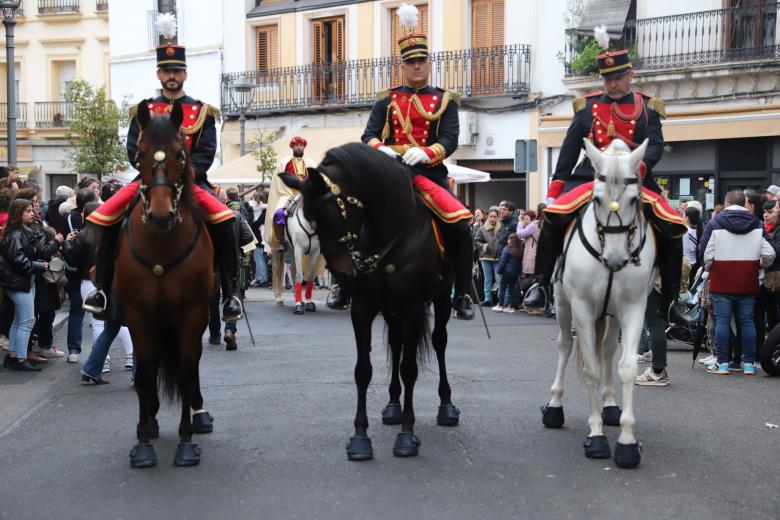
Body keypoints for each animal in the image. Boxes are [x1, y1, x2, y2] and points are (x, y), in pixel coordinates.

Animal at [114, 100, 216, 468]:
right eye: (140, 153)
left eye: (179, 153)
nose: (160, 216)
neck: (161, 244)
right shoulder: (139, 314)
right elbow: (144, 374)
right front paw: (143, 441)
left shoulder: (191, 313)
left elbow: (186, 373)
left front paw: (186, 442)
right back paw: (152, 417)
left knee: (193, 363)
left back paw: (199, 414)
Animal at [282, 142, 460, 460]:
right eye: (312, 219)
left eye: (334, 213)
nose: (343, 273)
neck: (391, 231)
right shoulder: (364, 307)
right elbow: (363, 370)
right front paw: (360, 438)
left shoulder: (412, 306)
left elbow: (409, 369)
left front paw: (406, 436)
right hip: (390, 309)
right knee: (396, 344)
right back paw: (393, 407)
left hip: (441, 298)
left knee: (439, 342)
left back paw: (446, 406)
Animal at [544, 137, 660, 468]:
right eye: (596, 199)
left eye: (634, 200)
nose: (616, 259)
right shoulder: (582, 307)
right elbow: (591, 370)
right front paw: (596, 437)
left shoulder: (634, 308)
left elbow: (626, 367)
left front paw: (627, 442)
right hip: (563, 304)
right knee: (565, 347)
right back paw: (554, 406)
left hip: (612, 314)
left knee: (607, 350)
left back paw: (609, 405)